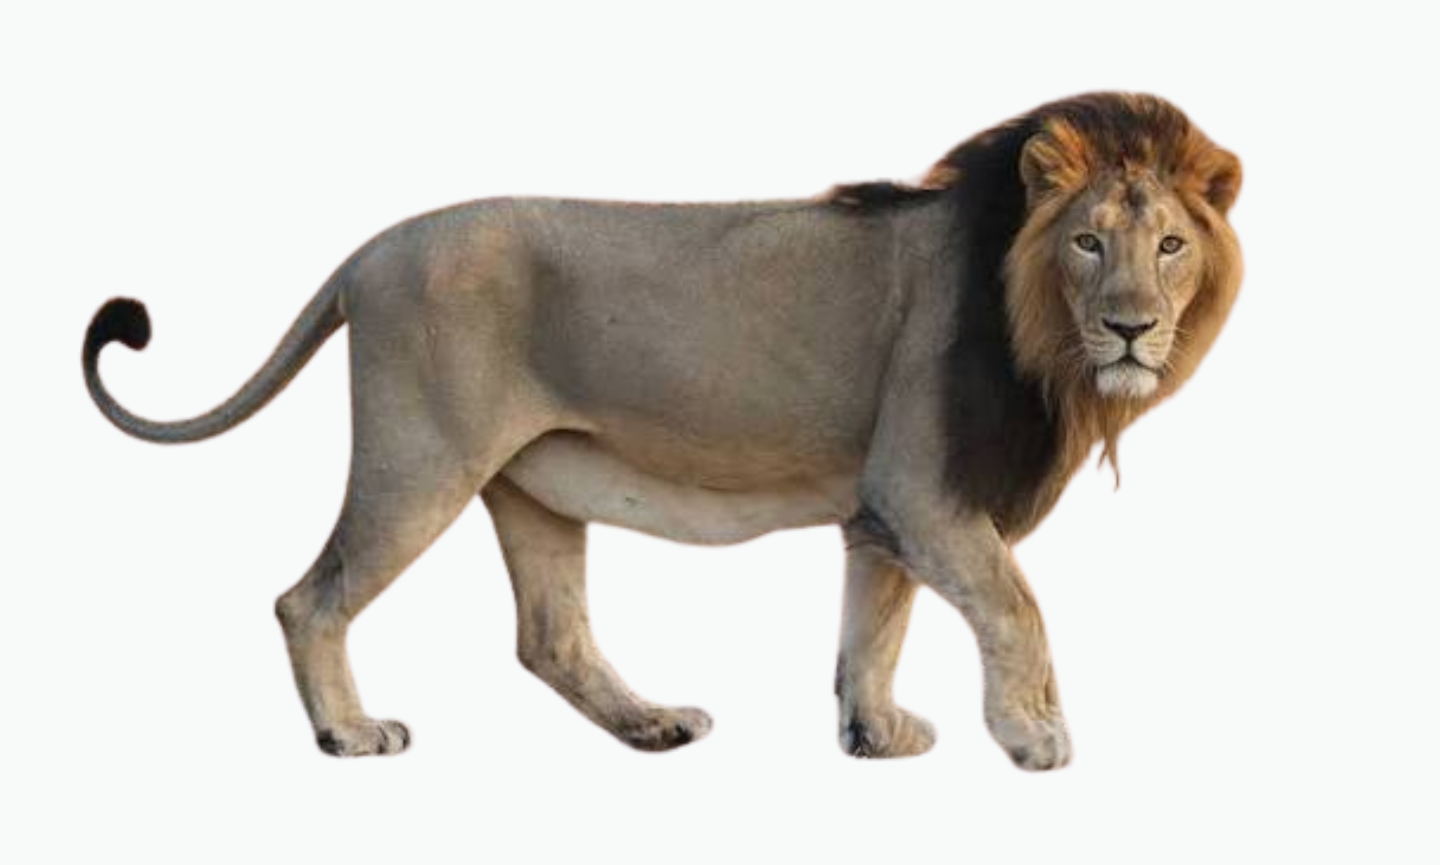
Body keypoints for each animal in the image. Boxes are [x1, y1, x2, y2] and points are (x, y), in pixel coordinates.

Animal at [83, 92, 1242, 769]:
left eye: (1171, 244)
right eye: (1089, 242)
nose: (1132, 327)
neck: (1044, 336)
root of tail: (366, 252)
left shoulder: (884, 507)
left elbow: (876, 624)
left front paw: (875, 736)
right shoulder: (926, 489)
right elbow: (1015, 606)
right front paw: (1036, 736)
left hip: (533, 484)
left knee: (548, 635)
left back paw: (651, 725)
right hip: (420, 460)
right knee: (308, 597)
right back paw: (349, 733)